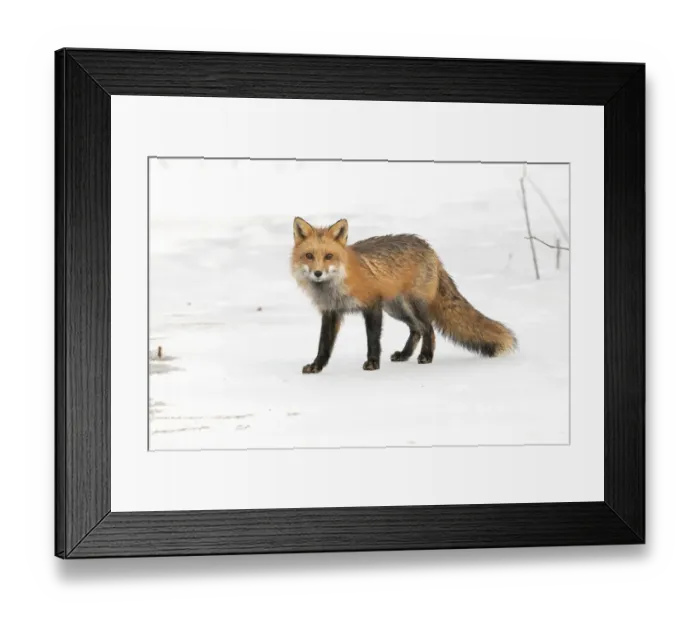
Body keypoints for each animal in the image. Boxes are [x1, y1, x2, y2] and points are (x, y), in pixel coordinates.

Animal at [291, 217, 516, 373]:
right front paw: (317, 366)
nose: (318, 273)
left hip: (412, 304)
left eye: (329, 256)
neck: (335, 288)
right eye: (309, 256)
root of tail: (430, 248)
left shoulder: (372, 305)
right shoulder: (331, 312)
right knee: (416, 329)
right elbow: (324, 345)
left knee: (428, 328)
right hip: (396, 309)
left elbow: (373, 340)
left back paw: (426, 356)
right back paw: (405, 354)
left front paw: (373, 363)